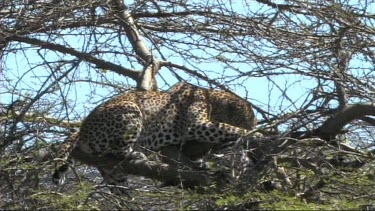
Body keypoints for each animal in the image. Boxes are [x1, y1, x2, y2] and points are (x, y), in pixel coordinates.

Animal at [53, 82, 258, 193]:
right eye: (249, 121)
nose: (254, 125)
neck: (211, 98)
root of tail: (81, 130)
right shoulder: (196, 125)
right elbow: (228, 128)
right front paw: (257, 134)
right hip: (131, 110)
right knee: (119, 150)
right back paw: (136, 154)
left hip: (112, 171)